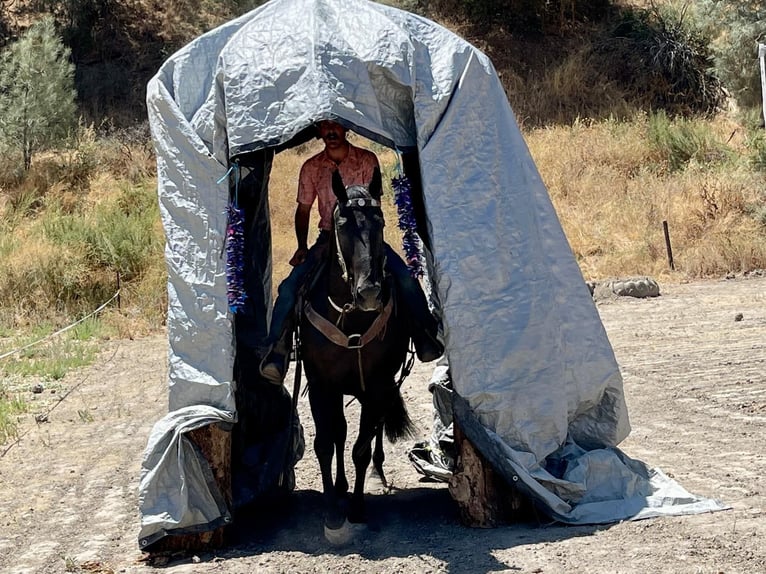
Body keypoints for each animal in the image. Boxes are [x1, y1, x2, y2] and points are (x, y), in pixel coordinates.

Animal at [298, 167, 415, 544]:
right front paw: (333, 512)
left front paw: (358, 509)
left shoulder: (377, 385)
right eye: (341, 223)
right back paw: (339, 485)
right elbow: (325, 442)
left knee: (370, 433)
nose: (369, 293)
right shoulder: (322, 385)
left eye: (380, 222)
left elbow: (360, 448)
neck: (350, 316)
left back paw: (376, 471)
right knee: (338, 432)